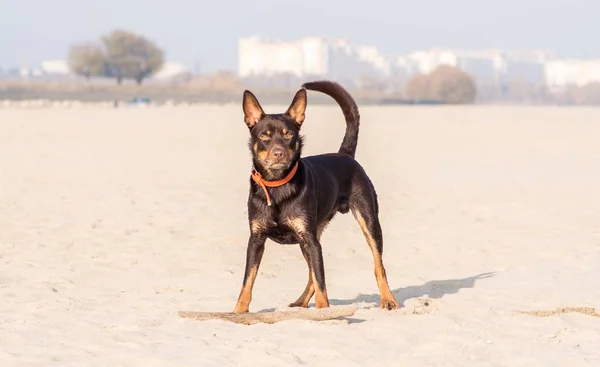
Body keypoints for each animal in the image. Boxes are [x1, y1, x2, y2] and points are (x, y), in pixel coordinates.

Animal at [232, 80, 400, 314]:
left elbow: (322, 283)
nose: (278, 153)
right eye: (264, 136)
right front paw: (238, 311)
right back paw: (301, 302)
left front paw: (325, 312)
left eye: (288, 135)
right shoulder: (256, 239)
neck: (277, 185)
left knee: (378, 264)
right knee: (313, 272)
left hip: (368, 222)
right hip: (311, 238)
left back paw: (388, 299)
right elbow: (247, 280)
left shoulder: (309, 239)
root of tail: (345, 154)